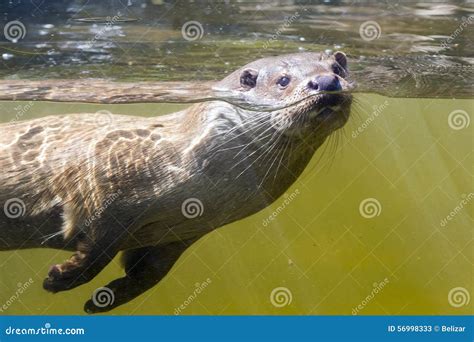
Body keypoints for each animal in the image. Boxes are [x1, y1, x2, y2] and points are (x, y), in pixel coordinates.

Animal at [0, 50, 350, 312]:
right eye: (283, 81)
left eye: (337, 68)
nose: (326, 82)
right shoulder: (103, 182)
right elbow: (97, 245)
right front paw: (60, 277)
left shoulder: (181, 233)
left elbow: (150, 272)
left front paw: (105, 298)